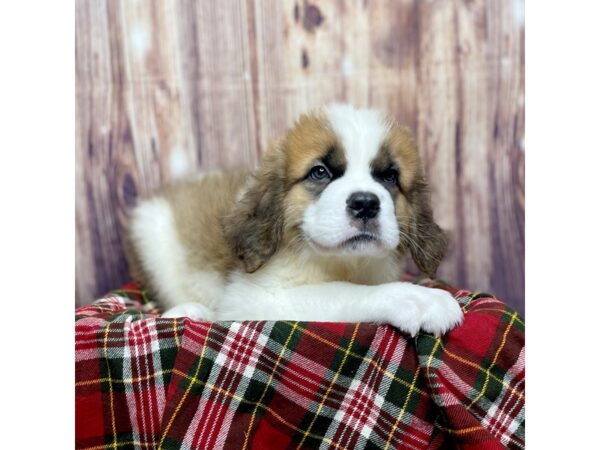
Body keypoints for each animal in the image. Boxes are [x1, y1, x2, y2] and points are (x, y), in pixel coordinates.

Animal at [125, 103, 464, 336]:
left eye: (390, 177)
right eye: (320, 172)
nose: (366, 204)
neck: (340, 263)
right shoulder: (254, 299)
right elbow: (342, 291)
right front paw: (417, 298)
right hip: (154, 242)